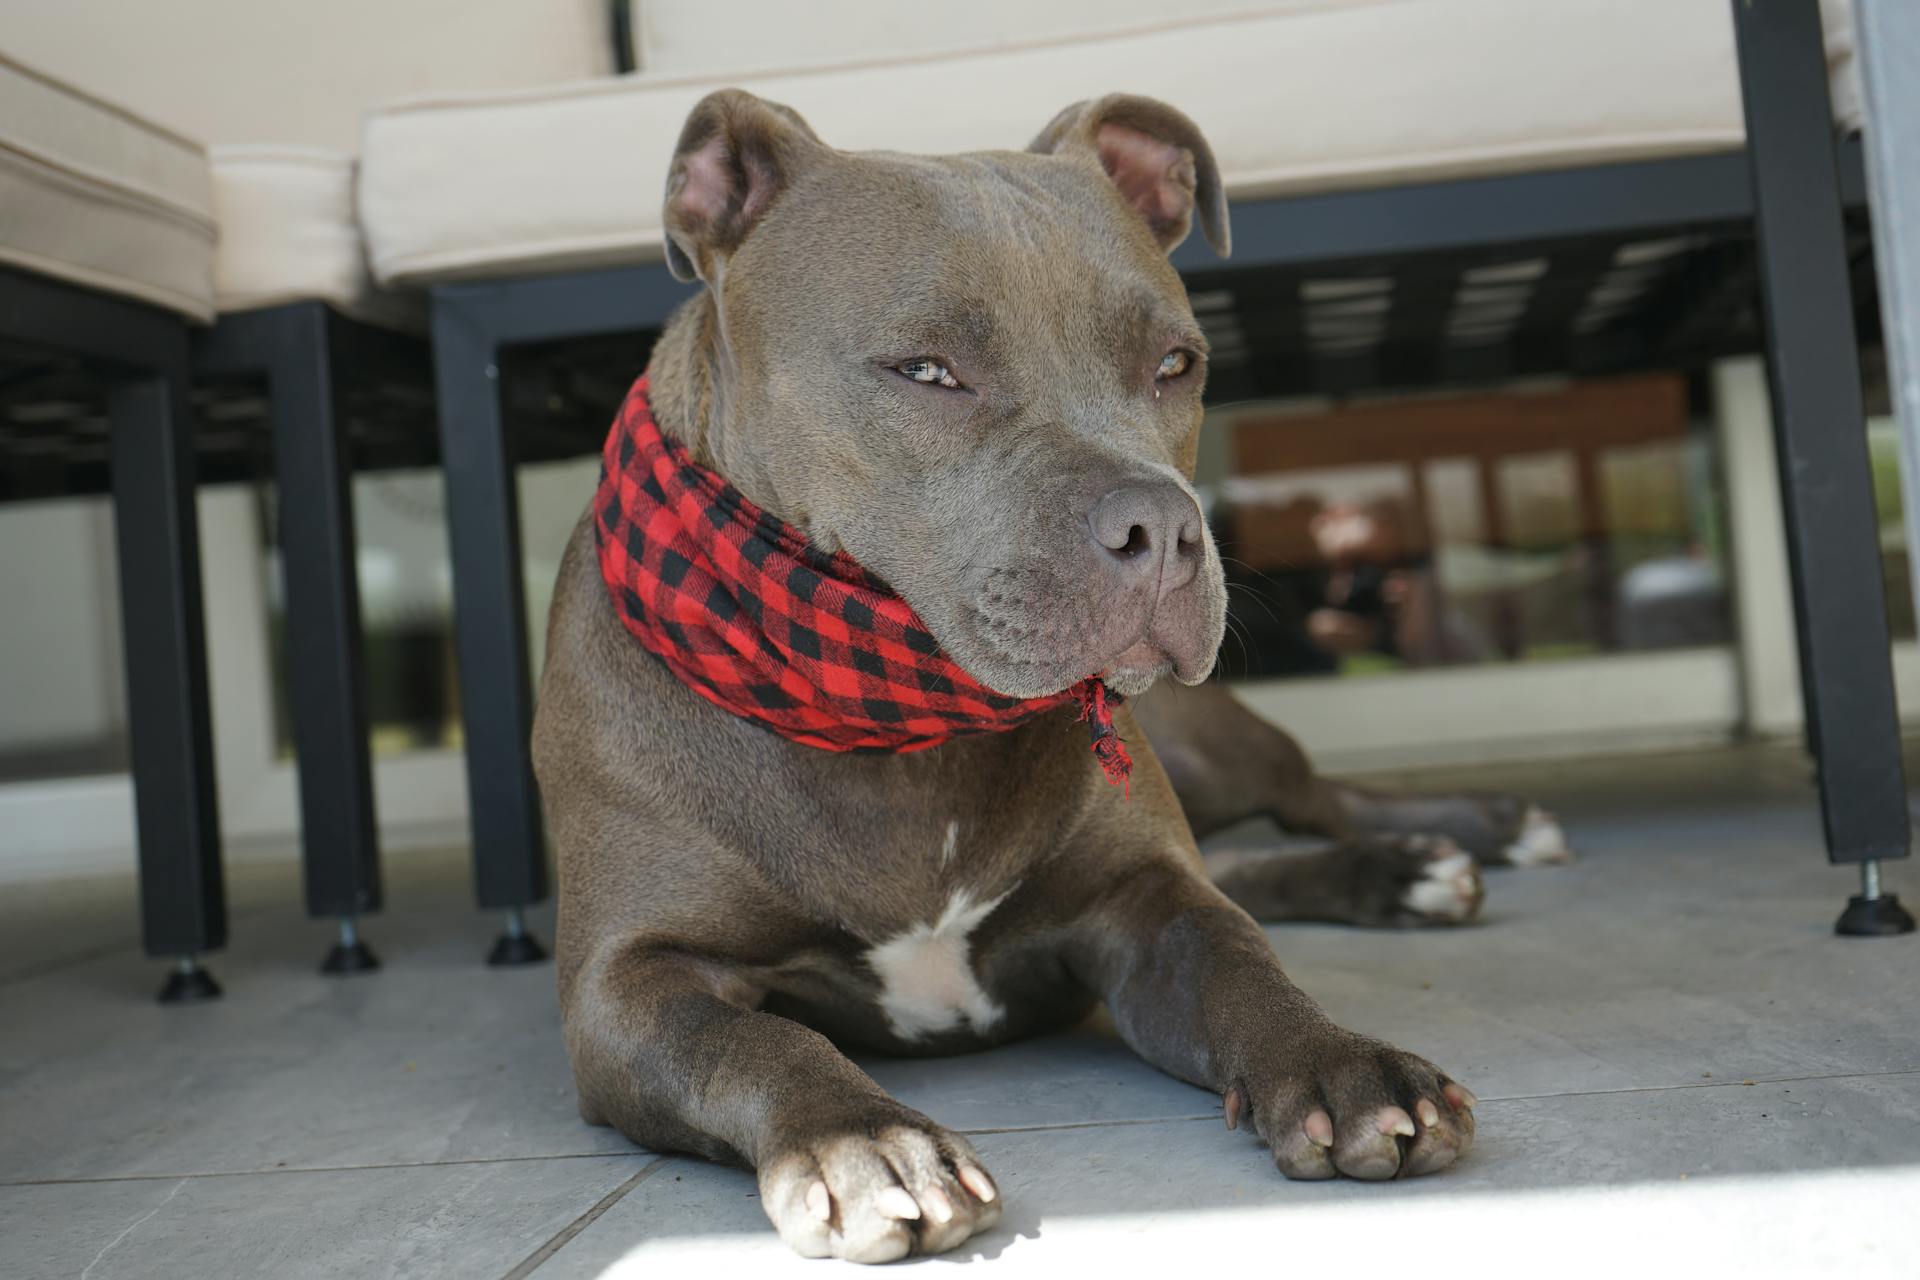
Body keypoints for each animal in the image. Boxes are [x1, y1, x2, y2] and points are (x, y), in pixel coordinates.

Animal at [529, 87, 1559, 1258]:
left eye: (1176, 365)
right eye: (926, 371)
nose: (1164, 528)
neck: (896, 730)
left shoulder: (1147, 900)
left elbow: (1243, 959)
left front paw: (1343, 1062)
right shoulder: (627, 981)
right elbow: (754, 1043)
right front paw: (861, 1141)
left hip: (1214, 744)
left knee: (1301, 804)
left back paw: (1452, 838)